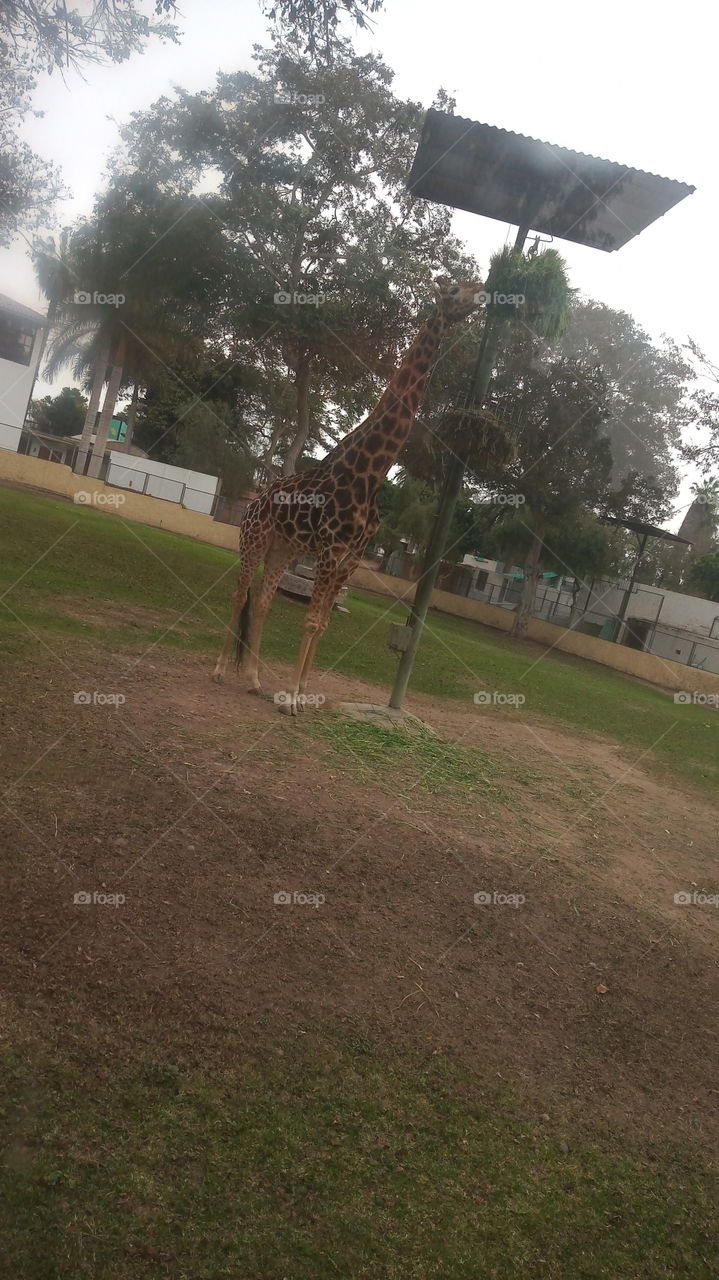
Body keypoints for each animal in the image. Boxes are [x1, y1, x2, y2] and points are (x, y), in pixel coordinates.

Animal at [213, 280, 482, 714]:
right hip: (252, 539)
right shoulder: (330, 549)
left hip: (283, 548)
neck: (372, 472)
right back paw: (221, 670)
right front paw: (291, 699)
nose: (484, 293)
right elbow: (310, 621)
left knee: (265, 601)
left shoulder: (351, 558)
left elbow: (322, 622)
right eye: (455, 289)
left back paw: (253, 680)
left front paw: (305, 693)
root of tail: (253, 503)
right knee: (240, 595)